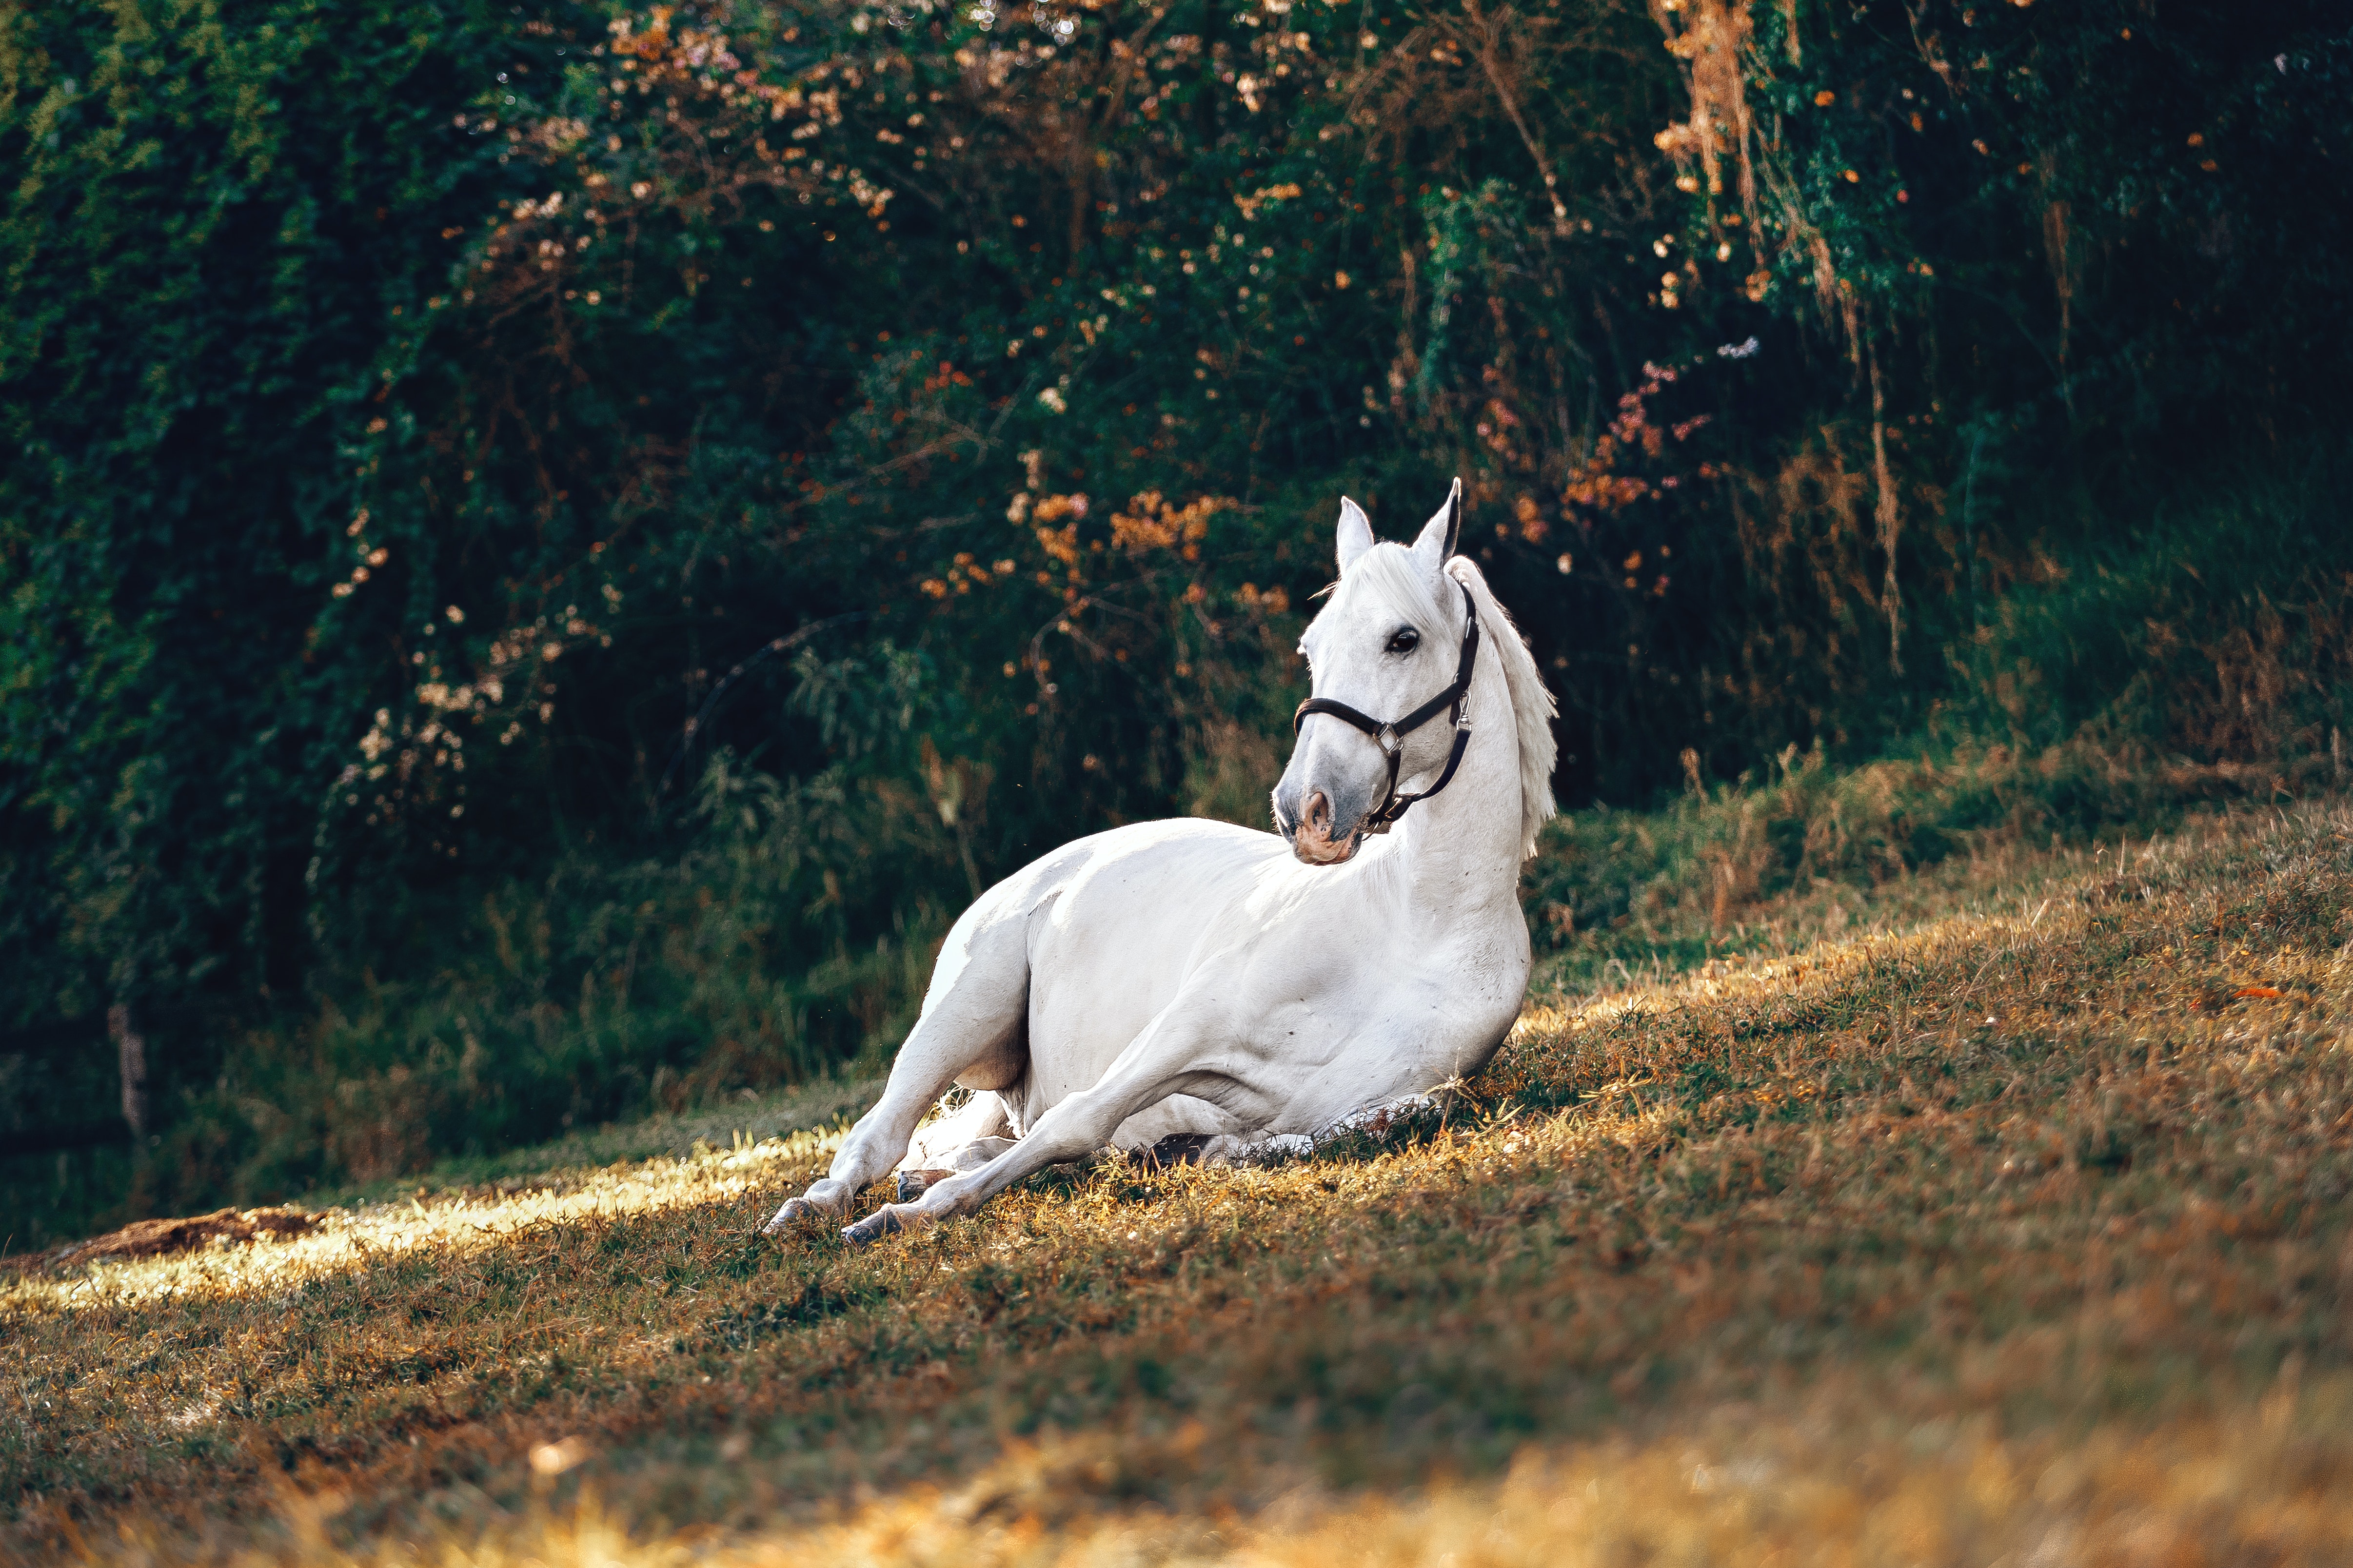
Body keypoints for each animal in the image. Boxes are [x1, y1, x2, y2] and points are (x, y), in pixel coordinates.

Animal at [763, 480, 1557, 1244]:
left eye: (1403, 639)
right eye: (1311, 648)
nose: (1304, 810)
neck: (1418, 924)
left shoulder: (1376, 1100)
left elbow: (1347, 1128)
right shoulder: (1185, 1030)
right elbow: (1077, 1119)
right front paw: (910, 1218)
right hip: (958, 1018)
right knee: (879, 1137)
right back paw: (819, 1208)